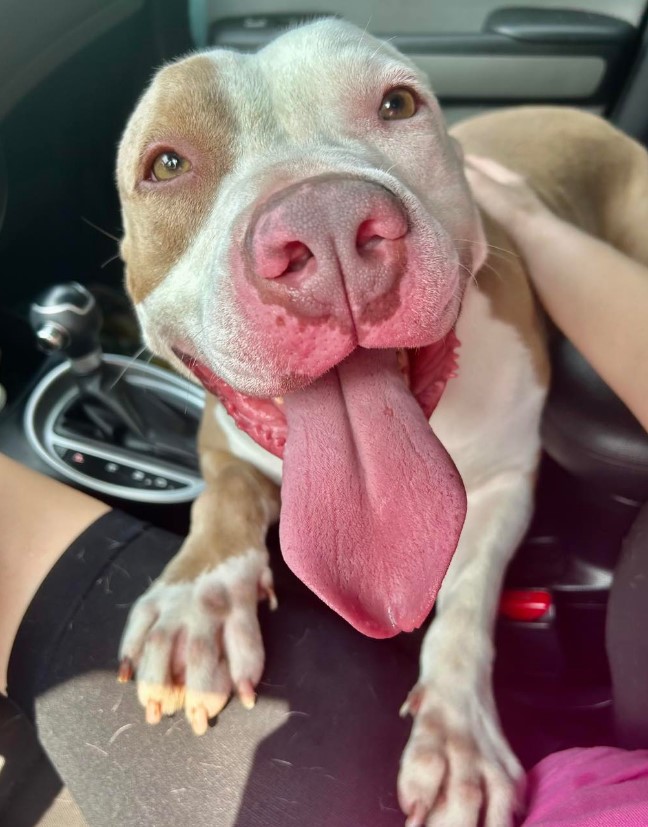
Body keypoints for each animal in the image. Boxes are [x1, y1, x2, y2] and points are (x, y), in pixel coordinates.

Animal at [114, 19, 648, 827]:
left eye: (397, 104)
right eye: (166, 164)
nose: (327, 222)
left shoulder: (507, 476)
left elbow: (465, 602)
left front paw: (459, 737)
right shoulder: (219, 435)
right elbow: (225, 498)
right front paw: (196, 604)